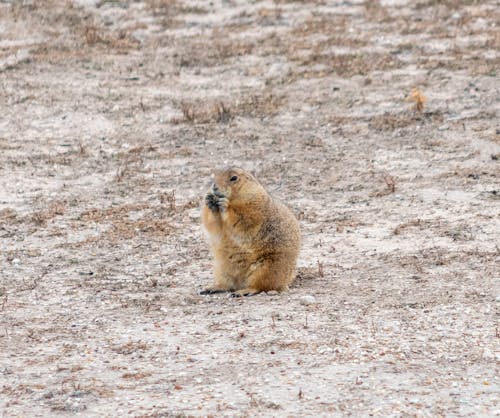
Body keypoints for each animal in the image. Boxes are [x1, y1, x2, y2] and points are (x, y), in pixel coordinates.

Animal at [200, 167, 300, 298]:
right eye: (216, 174)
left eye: (234, 178)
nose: (214, 187)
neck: (235, 199)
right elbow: (214, 224)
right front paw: (209, 199)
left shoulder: (254, 205)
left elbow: (244, 218)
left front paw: (225, 205)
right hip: (220, 268)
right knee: (229, 285)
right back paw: (212, 288)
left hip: (267, 268)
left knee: (261, 286)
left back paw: (244, 291)